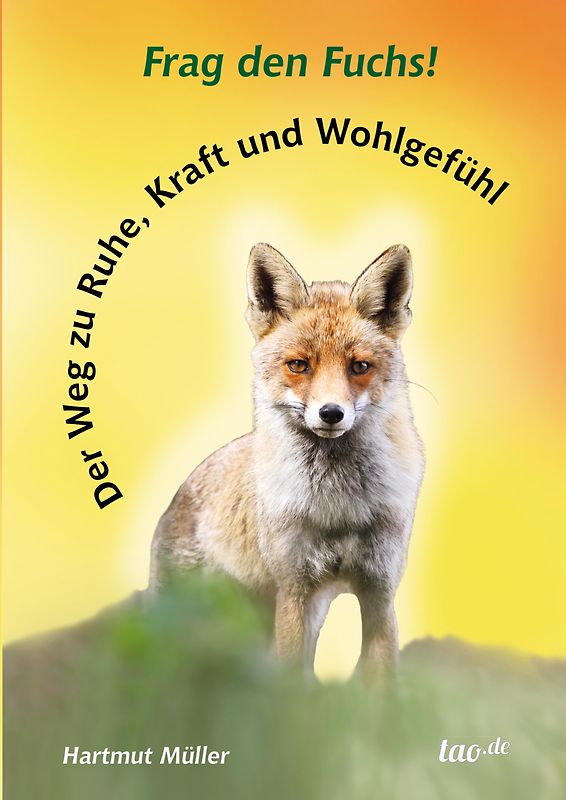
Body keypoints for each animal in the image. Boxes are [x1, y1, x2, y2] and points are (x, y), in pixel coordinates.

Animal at [150, 242, 425, 681]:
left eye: (359, 366)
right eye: (299, 365)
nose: (331, 413)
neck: (338, 506)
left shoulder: (379, 593)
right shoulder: (295, 589)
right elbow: (294, 684)